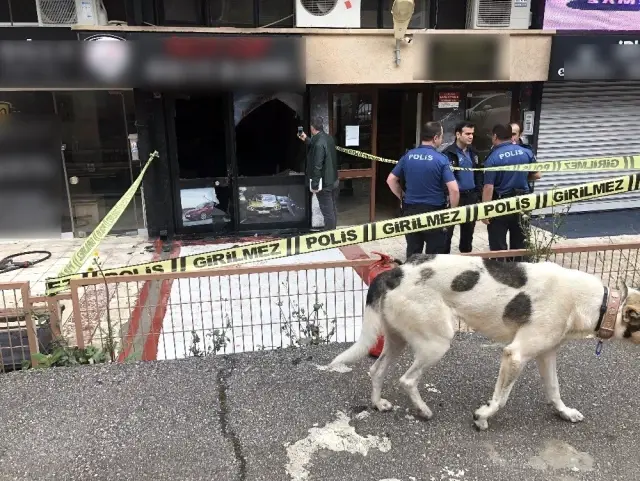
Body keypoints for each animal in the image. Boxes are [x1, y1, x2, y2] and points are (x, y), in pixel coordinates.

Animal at [330, 253, 640, 430]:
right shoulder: (515, 355)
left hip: (398, 340)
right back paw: (423, 410)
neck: (600, 303)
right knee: (407, 380)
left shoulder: (546, 355)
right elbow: (501, 399)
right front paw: (482, 416)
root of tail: (395, 272)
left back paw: (378, 404)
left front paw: (565, 413)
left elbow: (554, 391)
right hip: (436, 342)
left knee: (376, 370)